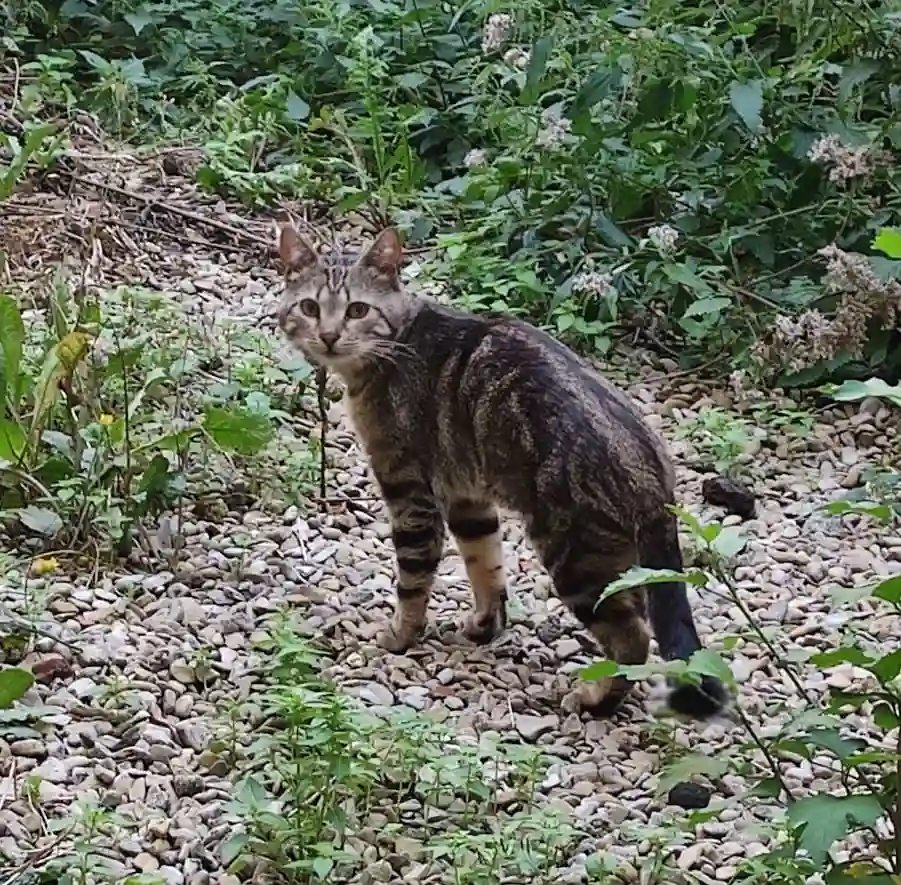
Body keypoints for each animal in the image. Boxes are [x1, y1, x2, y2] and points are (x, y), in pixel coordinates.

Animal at [278, 223, 728, 720]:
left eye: (357, 309)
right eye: (310, 307)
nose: (328, 335)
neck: (393, 346)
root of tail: (653, 476)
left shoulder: (409, 491)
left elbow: (413, 582)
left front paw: (398, 636)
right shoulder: (468, 496)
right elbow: (486, 568)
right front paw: (484, 625)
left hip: (575, 558)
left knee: (633, 639)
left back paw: (594, 700)